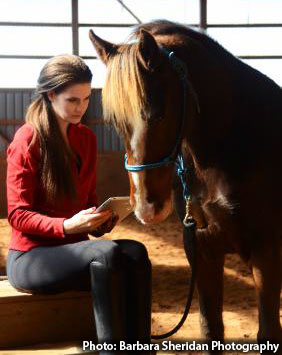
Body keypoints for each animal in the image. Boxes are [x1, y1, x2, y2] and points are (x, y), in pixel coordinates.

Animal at [90, 20, 282, 352]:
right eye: (115, 122)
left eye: (157, 116)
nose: (146, 208)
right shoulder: (202, 248)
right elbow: (211, 328)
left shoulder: (266, 249)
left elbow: (269, 332)